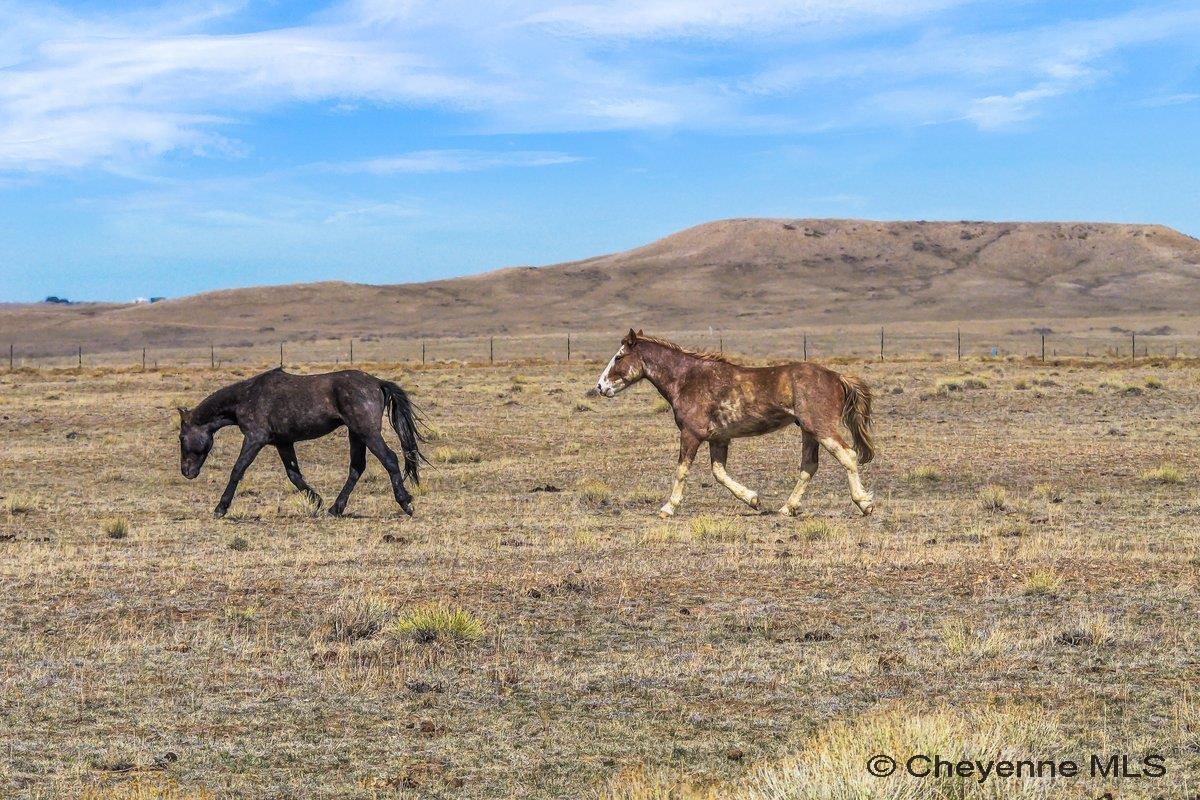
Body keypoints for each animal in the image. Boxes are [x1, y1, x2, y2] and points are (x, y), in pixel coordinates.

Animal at [177, 367, 426, 518]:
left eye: (181, 437)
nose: (186, 472)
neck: (246, 397)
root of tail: (377, 382)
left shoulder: (255, 438)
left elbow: (238, 469)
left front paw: (220, 508)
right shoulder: (283, 443)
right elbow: (294, 474)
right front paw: (317, 500)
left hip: (367, 433)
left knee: (389, 459)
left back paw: (406, 503)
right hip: (356, 434)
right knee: (357, 468)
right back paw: (335, 508)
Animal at [595, 330, 875, 518]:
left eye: (619, 357)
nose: (600, 386)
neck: (688, 380)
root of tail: (837, 376)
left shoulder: (691, 434)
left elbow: (682, 470)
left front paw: (668, 508)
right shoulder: (719, 438)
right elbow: (719, 473)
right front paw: (754, 500)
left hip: (821, 428)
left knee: (848, 455)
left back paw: (865, 503)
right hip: (808, 431)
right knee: (809, 466)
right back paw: (787, 508)